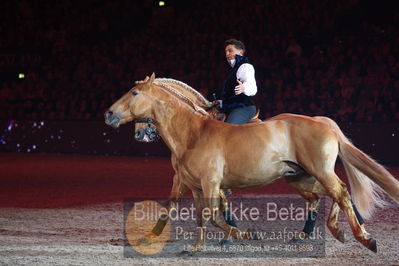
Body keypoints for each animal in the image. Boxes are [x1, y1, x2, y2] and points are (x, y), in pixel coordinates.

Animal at [106, 72, 399, 254]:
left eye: (134, 93)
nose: (109, 114)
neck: (193, 133)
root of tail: (321, 121)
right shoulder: (195, 186)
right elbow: (196, 214)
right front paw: (194, 245)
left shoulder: (210, 183)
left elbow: (212, 214)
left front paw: (239, 236)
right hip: (300, 176)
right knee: (327, 196)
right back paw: (325, 232)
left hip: (319, 171)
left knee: (340, 192)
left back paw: (365, 237)